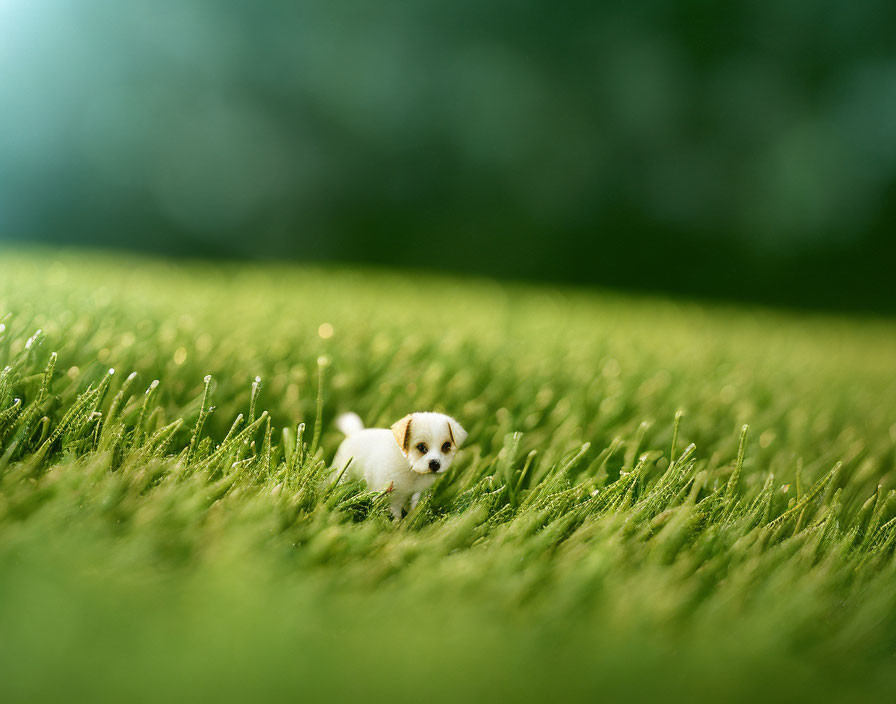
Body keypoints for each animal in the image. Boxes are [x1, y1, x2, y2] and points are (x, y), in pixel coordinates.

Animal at [330, 410, 468, 520]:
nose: (435, 464)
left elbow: (413, 507)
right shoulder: (392, 496)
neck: (411, 469)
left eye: (446, 446)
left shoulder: (415, 493)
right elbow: (394, 514)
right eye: (421, 447)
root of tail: (354, 433)